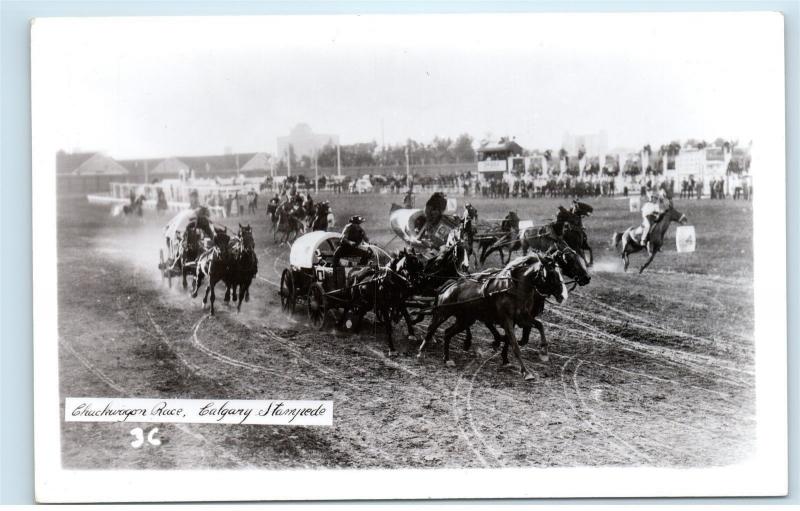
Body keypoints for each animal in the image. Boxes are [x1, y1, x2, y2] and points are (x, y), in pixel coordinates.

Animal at [418, 255, 568, 380]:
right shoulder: (507, 320)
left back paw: (447, 359)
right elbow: (514, 345)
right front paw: (526, 372)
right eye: (552, 274)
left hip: (465, 319)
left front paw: (544, 351)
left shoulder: (523, 317)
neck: (513, 289)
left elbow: (539, 325)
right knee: (431, 329)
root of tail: (450, 285)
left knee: (447, 333)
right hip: (443, 313)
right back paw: (421, 352)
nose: (563, 295)